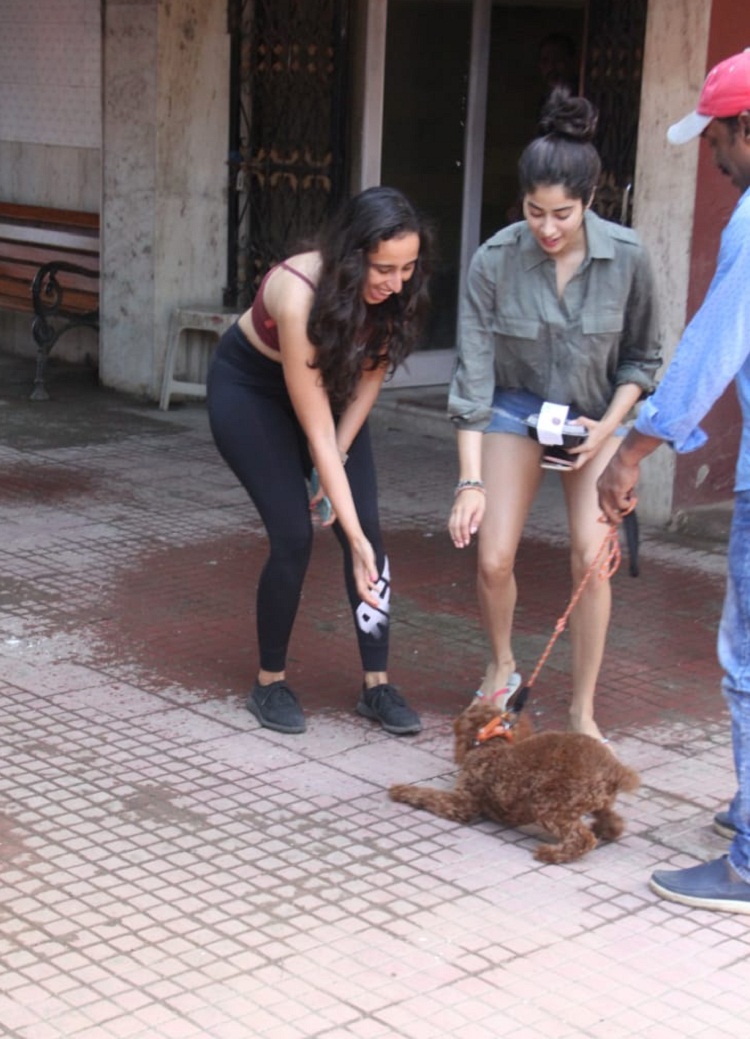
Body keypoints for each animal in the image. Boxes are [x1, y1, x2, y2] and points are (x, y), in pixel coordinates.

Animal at [386, 702, 635, 864]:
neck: (491, 744)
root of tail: (616, 770)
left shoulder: (463, 803)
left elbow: (428, 794)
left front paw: (402, 790)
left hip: (549, 803)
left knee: (582, 839)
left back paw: (551, 854)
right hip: (597, 799)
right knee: (613, 820)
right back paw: (604, 829)